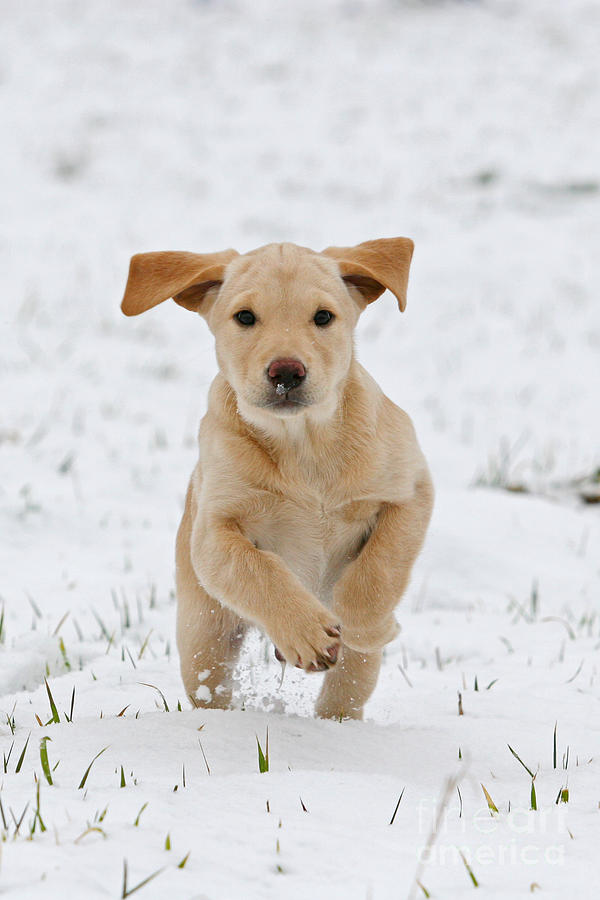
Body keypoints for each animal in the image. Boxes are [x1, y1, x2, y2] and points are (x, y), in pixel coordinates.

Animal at [120, 237, 432, 716]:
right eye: (245, 317)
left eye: (323, 317)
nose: (286, 371)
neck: (303, 444)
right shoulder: (213, 533)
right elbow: (259, 570)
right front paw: (305, 631)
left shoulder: (411, 492)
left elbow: (378, 570)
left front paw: (366, 626)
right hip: (203, 636)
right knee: (209, 685)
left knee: (345, 693)